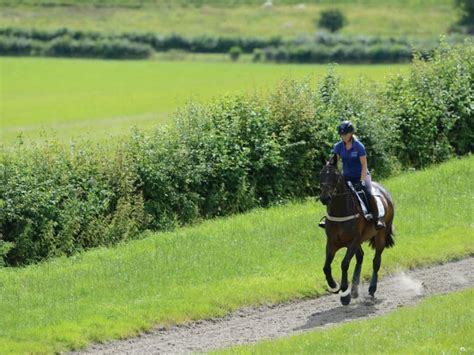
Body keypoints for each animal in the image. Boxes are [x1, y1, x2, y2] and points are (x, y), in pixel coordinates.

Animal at [318, 156, 396, 306]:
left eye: (335, 175)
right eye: (321, 174)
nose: (325, 198)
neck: (341, 211)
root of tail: (386, 193)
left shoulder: (353, 241)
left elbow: (344, 264)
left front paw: (344, 293)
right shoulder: (332, 243)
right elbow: (326, 267)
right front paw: (334, 286)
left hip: (380, 236)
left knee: (376, 261)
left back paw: (371, 290)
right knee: (360, 258)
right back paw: (354, 290)